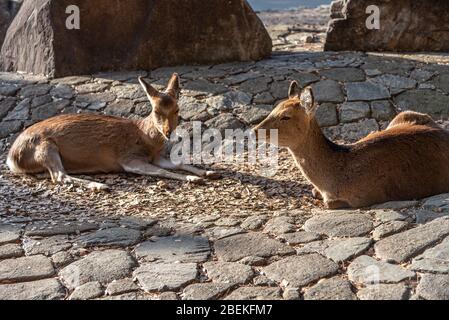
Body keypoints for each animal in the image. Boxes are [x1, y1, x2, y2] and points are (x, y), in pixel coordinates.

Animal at [6, 74, 217, 190]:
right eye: (156, 111)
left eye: (177, 110)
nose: (168, 132)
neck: (147, 140)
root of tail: (11, 158)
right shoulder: (129, 158)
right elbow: (161, 171)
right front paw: (195, 178)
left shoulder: (156, 156)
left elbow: (178, 162)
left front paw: (208, 171)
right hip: (45, 147)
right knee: (58, 176)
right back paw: (100, 185)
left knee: (53, 174)